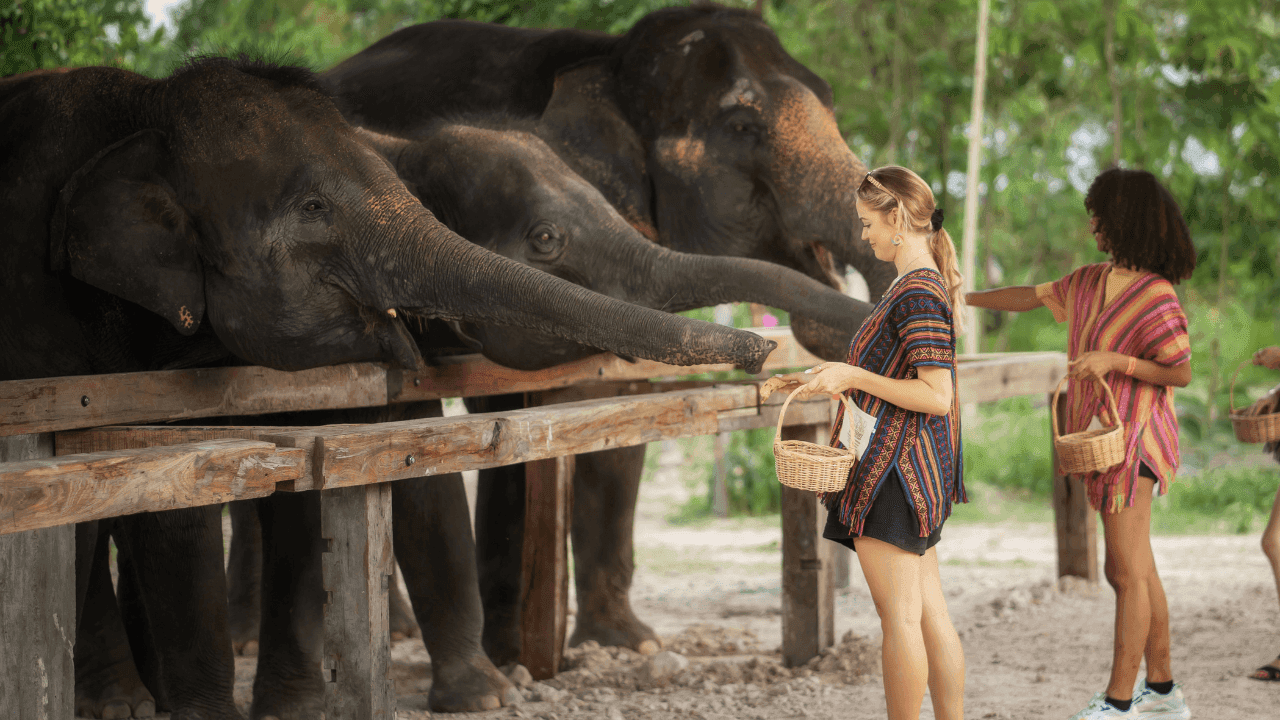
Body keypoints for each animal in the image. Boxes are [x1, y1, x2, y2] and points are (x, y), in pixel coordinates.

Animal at [0, 58, 774, 720]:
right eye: (546, 238)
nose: (766, 351)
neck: (145, 114)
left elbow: (395, 476)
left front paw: (483, 694)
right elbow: (173, 497)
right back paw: (119, 704)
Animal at [320, 4, 890, 667]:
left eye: (830, 99)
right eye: (743, 125)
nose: (769, 350)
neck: (612, 56)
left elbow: (617, 419)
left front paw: (629, 644)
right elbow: (506, 417)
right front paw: (514, 661)